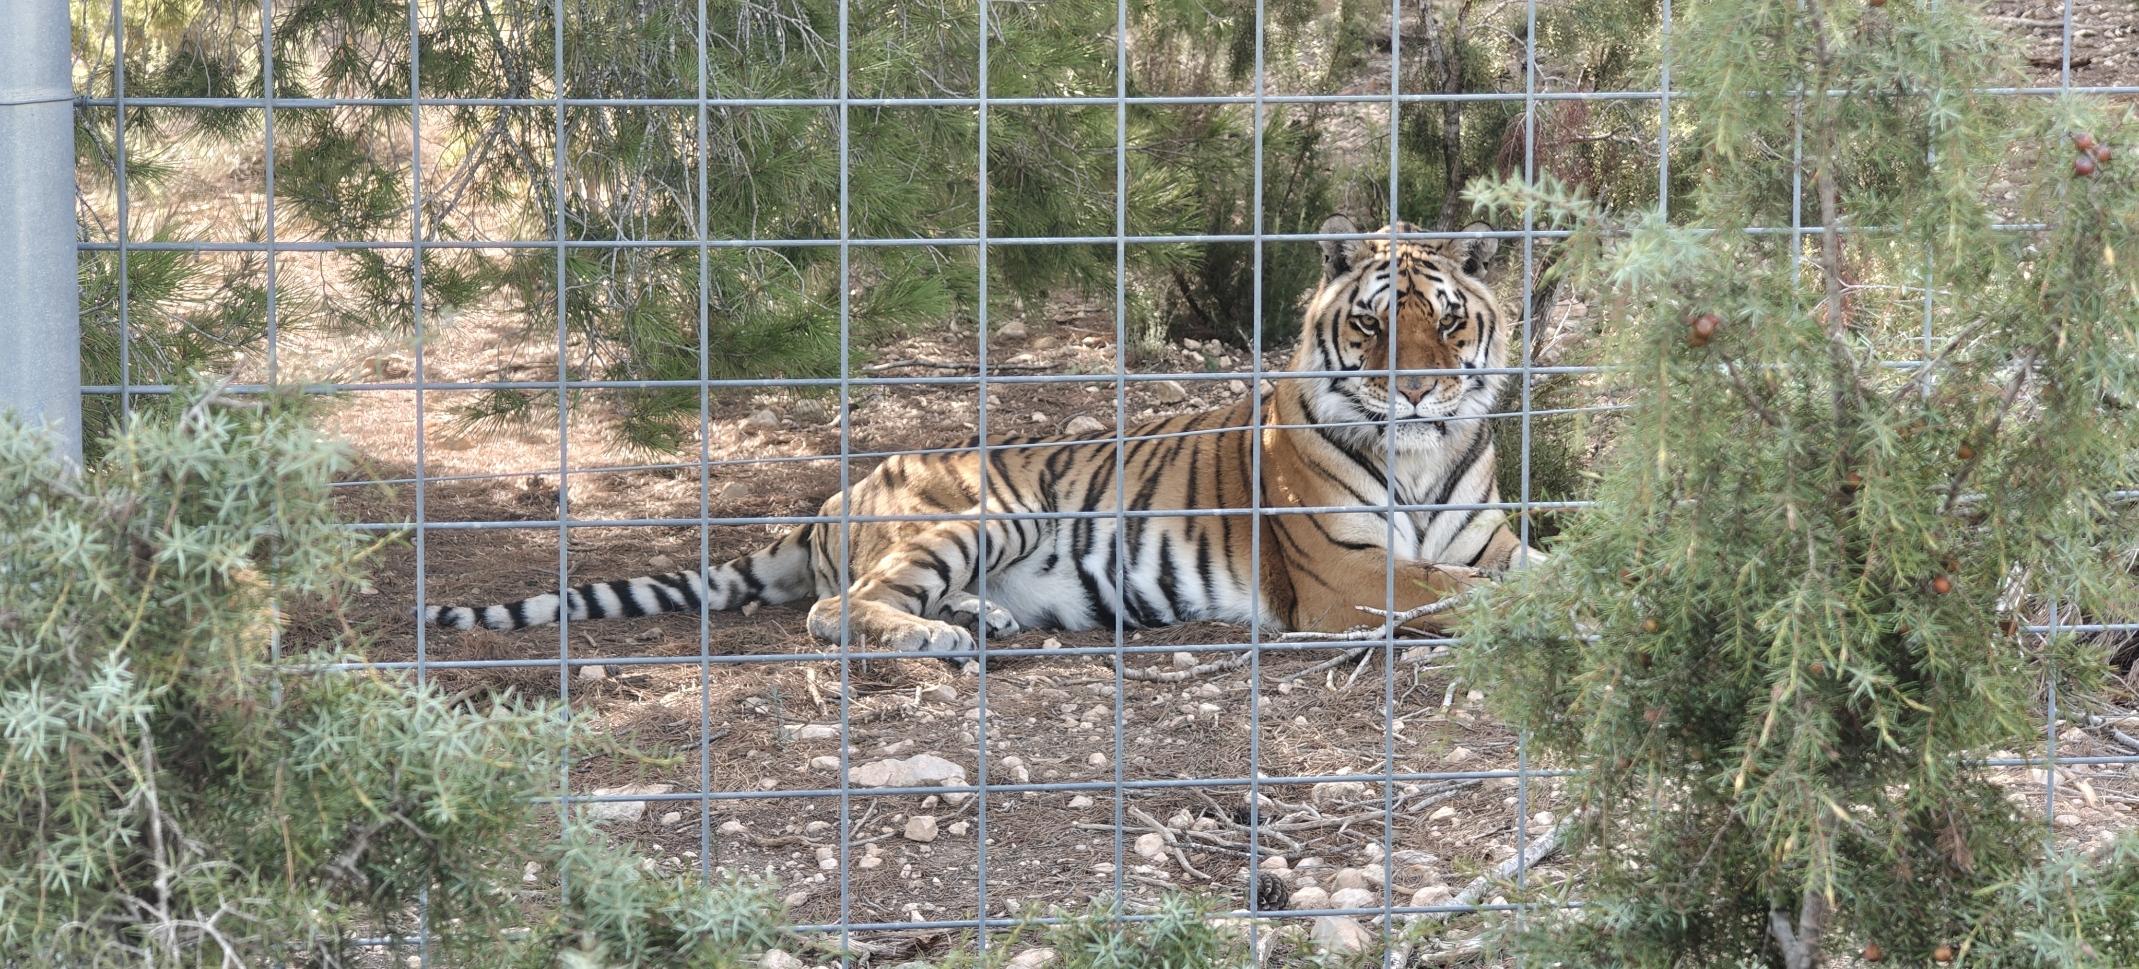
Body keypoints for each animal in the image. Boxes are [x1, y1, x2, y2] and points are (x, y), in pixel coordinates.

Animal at [426, 214, 1547, 654]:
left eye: (1448, 322)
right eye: (1371, 323)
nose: (1417, 393)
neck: (1421, 459)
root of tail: (832, 501)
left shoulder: (1488, 538)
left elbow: (1525, 570)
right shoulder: (1348, 577)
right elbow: (1455, 591)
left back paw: (985, 617)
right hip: (986, 515)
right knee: (837, 609)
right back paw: (939, 636)